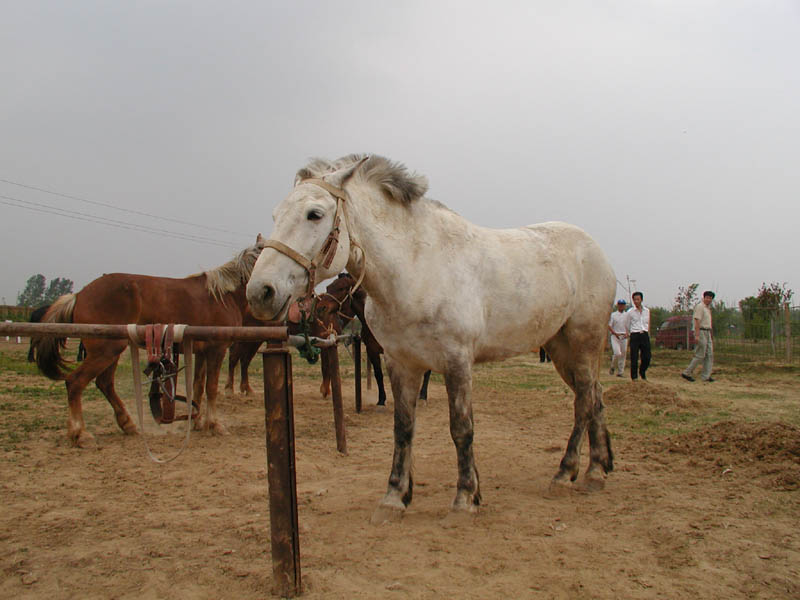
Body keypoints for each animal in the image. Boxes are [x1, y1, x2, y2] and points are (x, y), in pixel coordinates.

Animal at [35, 234, 266, 446]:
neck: (223, 296)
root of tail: (79, 295)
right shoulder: (216, 350)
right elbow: (211, 388)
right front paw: (215, 425)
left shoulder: (200, 352)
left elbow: (198, 387)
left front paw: (198, 422)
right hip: (106, 350)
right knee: (75, 382)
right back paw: (80, 433)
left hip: (112, 351)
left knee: (105, 383)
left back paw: (128, 425)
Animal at [247, 155, 616, 520]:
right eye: (276, 215)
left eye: (315, 214)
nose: (260, 292)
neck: (417, 268)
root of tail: (596, 250)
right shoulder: (400, 363)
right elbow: (403, 427)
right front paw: (395, 497)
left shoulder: (457, 362)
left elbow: (461, 428)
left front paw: (465, 498)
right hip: (560, 348)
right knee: (594, 396)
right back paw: (597, 470)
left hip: (582, 344)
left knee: (584, 401)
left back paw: (566, 474)